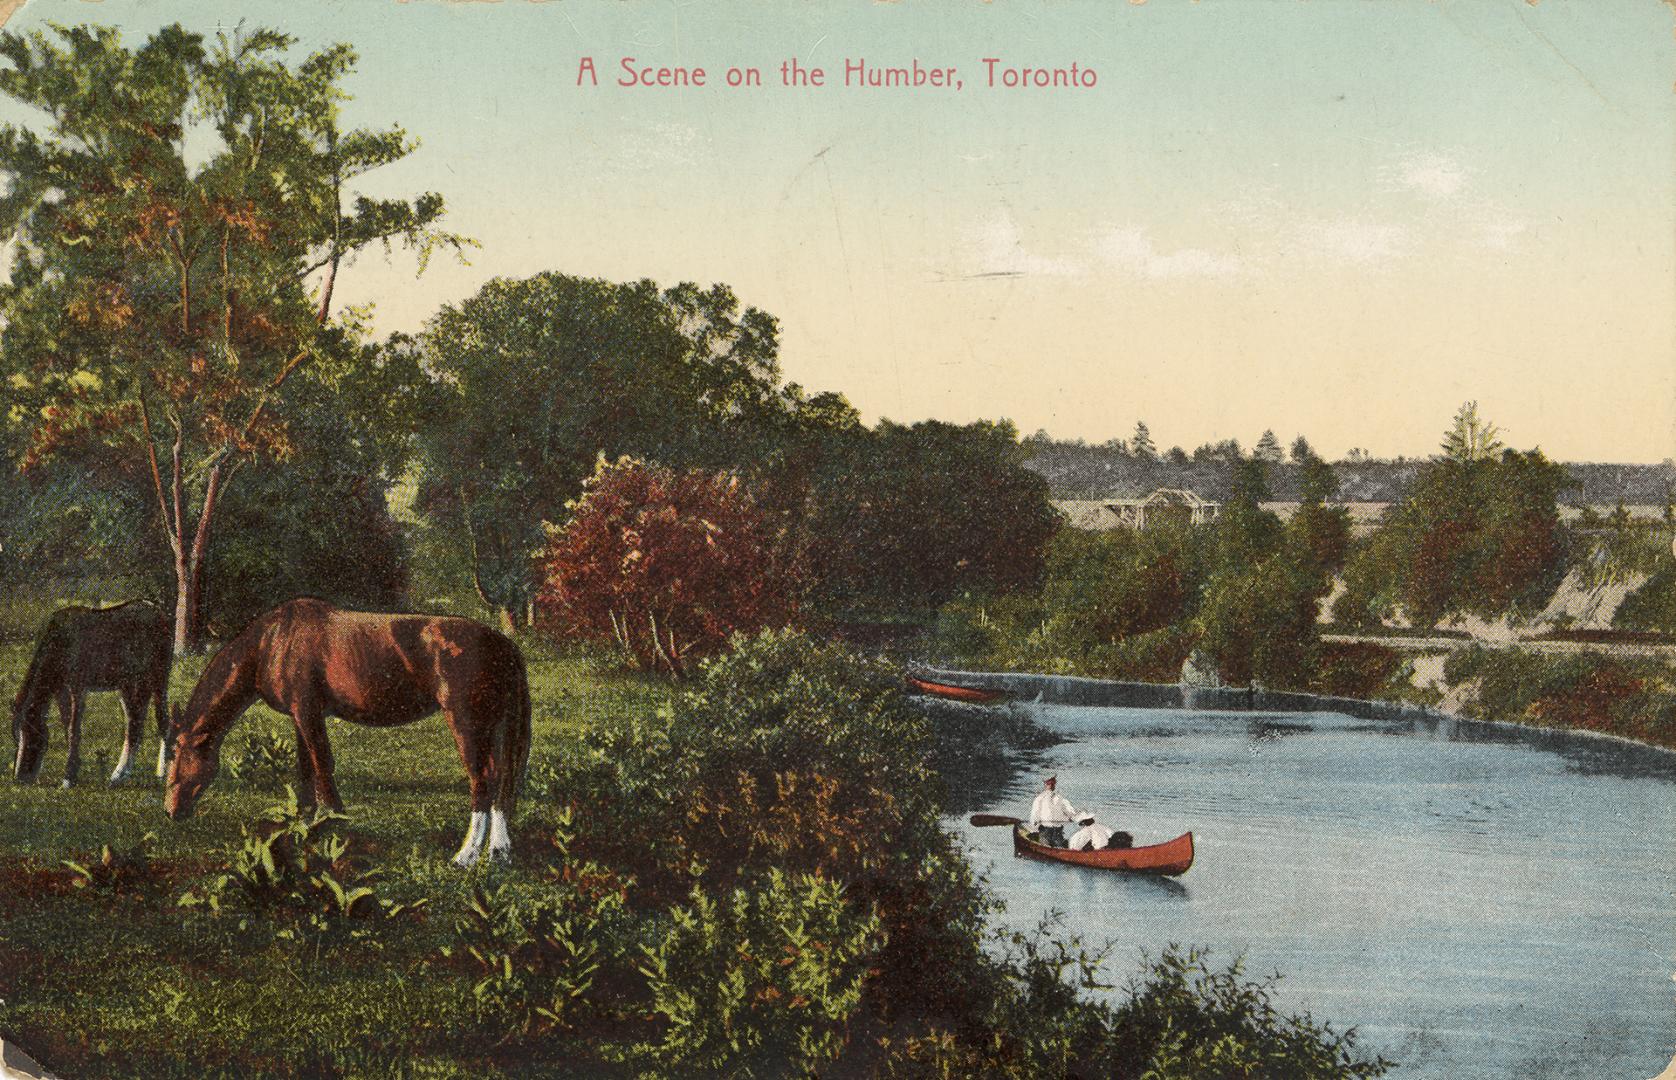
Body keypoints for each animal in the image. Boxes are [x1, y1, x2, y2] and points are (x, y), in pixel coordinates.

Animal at [11, 603, 173, 788]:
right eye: (16, 738)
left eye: (32, 735)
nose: (20, 778)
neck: (60, 640)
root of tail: (158, 612)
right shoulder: (61, 690)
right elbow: (67, 725)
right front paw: (73, 771)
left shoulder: (78, 687)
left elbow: (73, 729)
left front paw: (68, 778)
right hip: (129, 685)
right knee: (134, 724)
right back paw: (119, 775)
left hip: (158, 678)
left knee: (162, 720)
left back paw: (163, 772)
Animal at [163, 593, 529, 865]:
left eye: (177, 754)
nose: (170, 811)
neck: (273, 641)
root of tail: (503, 644)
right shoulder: (300, 716)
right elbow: (306, 768)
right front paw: (304, 820)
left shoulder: (308, 711)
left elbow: (322, 764)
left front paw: (333, 820)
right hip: (494, 727)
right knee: (502, 780)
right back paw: (498, 851)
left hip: (467, 724)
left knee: (482, 780)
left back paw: (467, 854)